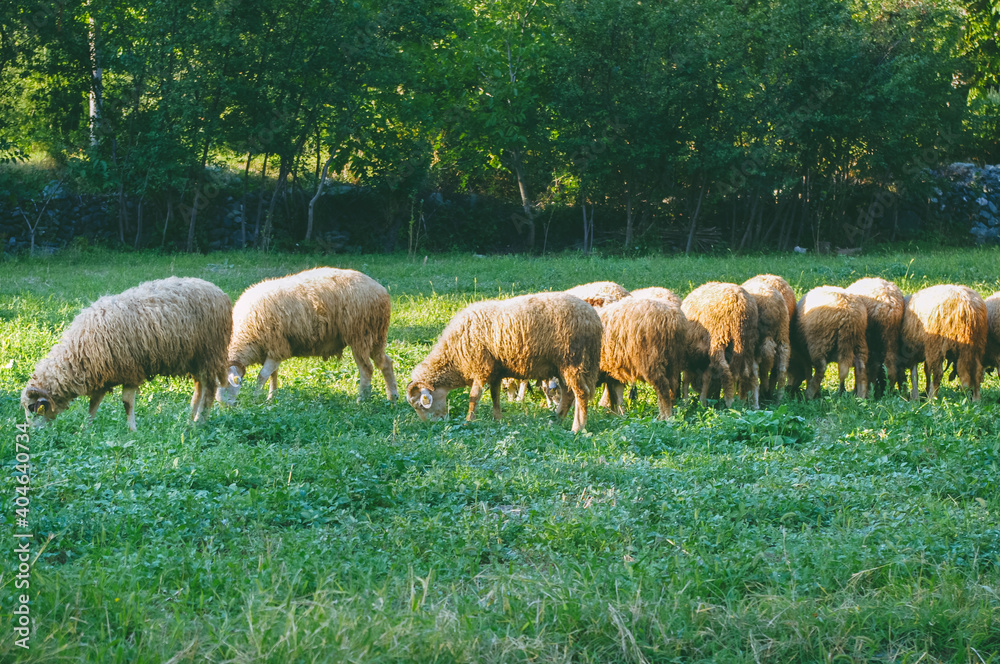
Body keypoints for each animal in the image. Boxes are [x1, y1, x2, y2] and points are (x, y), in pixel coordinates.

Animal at [21, 277, 232, 432]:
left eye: (33, 408)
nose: (32, 433)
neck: (78, 353)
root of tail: (219, 292)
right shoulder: (102, 376)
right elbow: (93, 404)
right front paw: (85, 429)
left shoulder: (131, 371)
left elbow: (126, 403)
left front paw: (132, 430)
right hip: (194, 358)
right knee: (199, 387)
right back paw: (189, 419)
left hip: (210, 352)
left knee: (209, 388)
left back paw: (200, 422)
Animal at [217, 267, 397, 405]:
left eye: (226, 386)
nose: (225, 406)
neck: (245, 338)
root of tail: (381, 291)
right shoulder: (272, 350)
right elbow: (273, 375)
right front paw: (271, 398)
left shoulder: (277, 347)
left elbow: (262, 376)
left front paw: (256, 398)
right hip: (376, 335)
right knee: (385, 363)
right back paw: (393, 397)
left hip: (360, 335)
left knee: (367, 369)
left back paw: (362, 399)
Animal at [407, 292, 601, 433]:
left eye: (420, 405)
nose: (432, 425)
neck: (454, 357)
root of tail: (594, 318)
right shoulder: (495, 371)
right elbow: (495, 396)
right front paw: (497, 419)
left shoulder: (482, 368)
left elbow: (474, 397)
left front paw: (469, 421)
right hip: (561, 366)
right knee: (568, 395)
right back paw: (557, 420)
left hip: (573, 361)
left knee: (581, 393)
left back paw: (577, 428)